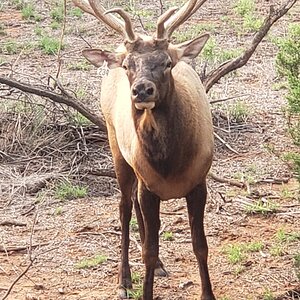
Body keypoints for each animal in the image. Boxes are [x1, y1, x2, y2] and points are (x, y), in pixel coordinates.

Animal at [73, 0, 216, 300]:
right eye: (129, 65)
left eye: (167, 62)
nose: (141, 90)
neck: (170, 166)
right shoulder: (148, 185)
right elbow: (150, 250)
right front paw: (144, 288)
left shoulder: (199, 181)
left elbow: (200, 245)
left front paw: (207, 294)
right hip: (115, 144)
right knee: (124, 207)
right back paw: (124, 279)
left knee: (136, 208)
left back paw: (158, 265)